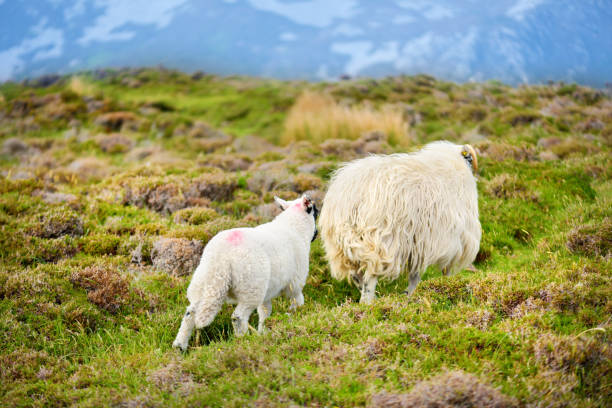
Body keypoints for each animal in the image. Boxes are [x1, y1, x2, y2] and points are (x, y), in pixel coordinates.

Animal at [171, 194, 318, 350]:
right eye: (316, 212)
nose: (316, 234)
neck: (294, 227)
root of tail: (221, 257)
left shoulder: (267, 292)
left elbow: (265, 312)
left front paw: (263, 331)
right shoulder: (295, 283)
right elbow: (297, 302)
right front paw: (297, 316)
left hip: (205, 282)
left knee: (190, 312)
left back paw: (180, 346)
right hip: (250, 287)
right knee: (238, 317)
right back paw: (244, 339)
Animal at [318, 140, 480, 302]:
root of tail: (351, 197)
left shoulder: (418, 243)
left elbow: (415, 274)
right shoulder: (444, 240)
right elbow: (432, 272)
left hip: (342, 246)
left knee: (357, 276)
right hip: (380, 243)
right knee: (370, 277)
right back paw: (369, 302)